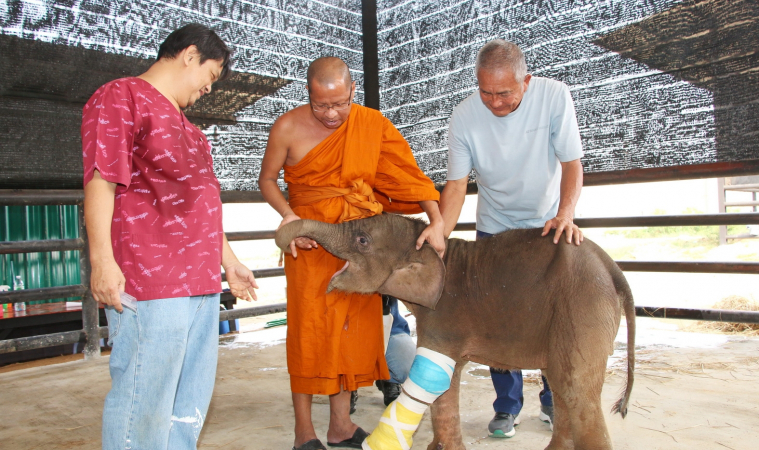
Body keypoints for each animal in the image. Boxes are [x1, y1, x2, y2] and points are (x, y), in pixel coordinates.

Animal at [278, 214, 636, 450]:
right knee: (561, 387)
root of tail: (613, 269)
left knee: (576, 390)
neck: (428, 246)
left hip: (582, 306)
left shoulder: (444, 315)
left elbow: (436, 377)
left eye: (362, 241)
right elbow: (446, 381)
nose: (298, 244)